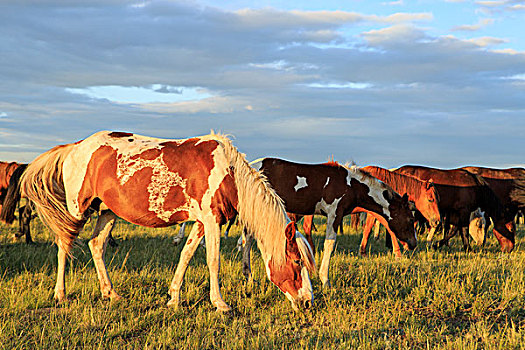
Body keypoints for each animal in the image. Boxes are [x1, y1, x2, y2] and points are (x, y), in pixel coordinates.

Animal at [19, 131, 316, 312]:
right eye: (297, 262)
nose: (308, 302)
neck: (228, 174)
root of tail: (76, 146)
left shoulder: (202, 222)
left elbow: (186, 255)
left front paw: (173, 297)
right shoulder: (211, 221)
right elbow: (213, 260)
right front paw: (220, 303)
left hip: (108, 212)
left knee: (96, 245)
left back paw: (110, 293)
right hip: (77, 210)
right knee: (64, 245)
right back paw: (60, 294)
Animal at [243, 158, 418, 288]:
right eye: (411, 219)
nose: (413, 243)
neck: (351, 185)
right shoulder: (334, 214)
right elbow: (329, 244)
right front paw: (325, 280)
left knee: (247, 239)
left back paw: (249, 277)